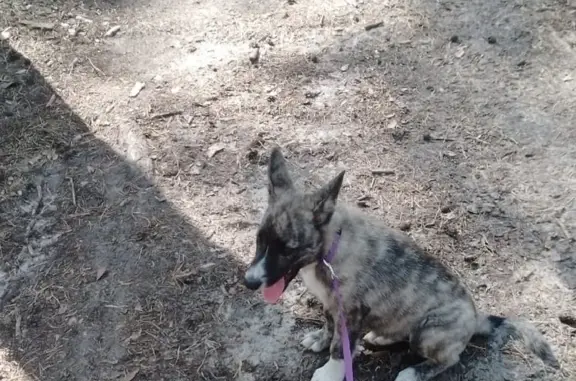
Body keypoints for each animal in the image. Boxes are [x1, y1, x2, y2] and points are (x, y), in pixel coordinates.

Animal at [242, 147, 560, 380]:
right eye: (259, 240)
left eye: (288, 249)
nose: (249, 282)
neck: (329, 251)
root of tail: (475, 317)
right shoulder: (332, 305)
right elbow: (329, 327)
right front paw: (320, 339)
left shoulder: (351, 312)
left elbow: (340, 348)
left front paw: (330, 372)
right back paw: (382, 338)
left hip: (429, 332)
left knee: (449, 357)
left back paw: (413, 372)